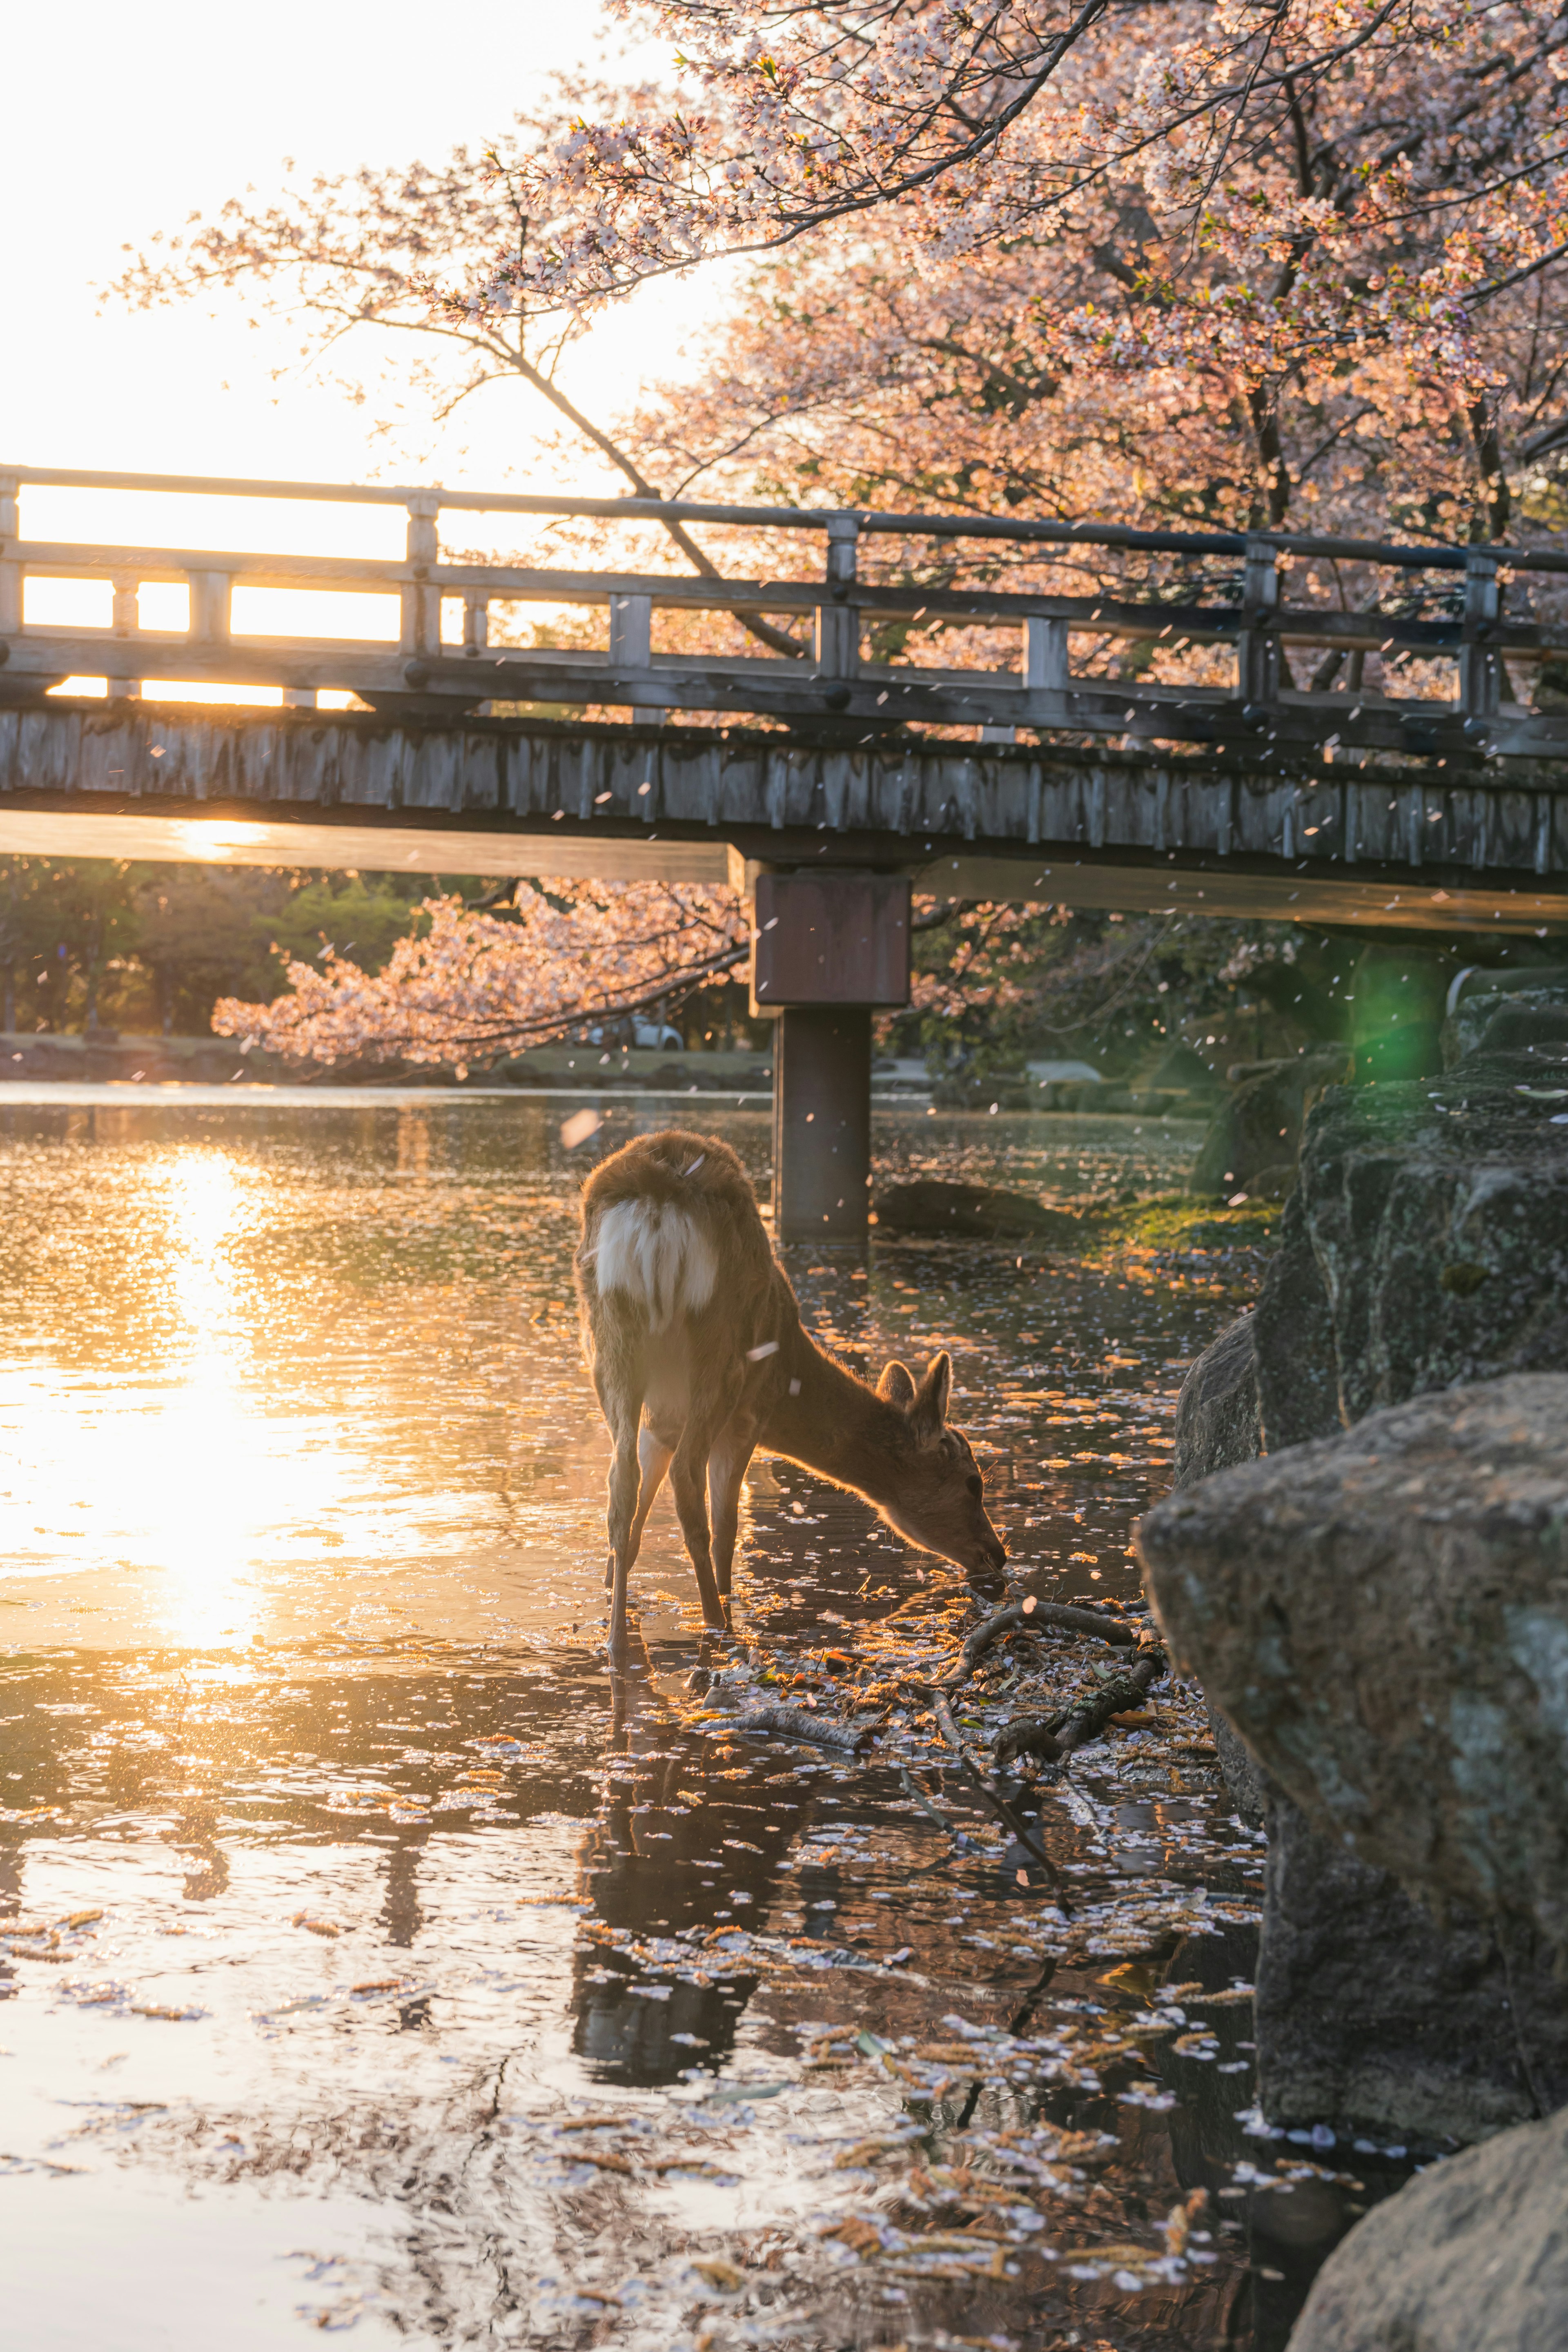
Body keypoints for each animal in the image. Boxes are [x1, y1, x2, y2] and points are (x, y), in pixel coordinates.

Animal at [576, 1124, 1006, 1656]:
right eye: (973, 1482)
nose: (997, 1554)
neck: (790, 1382)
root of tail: (657, 1200)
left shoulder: (662, 1424)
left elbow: (637, 1522)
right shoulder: (750, 1414)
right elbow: (729, 1528)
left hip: (610, 1341)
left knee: (620, 1486)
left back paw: (616, 1643)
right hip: (723, 1353)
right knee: (689, 1486)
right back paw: (718, 1625)